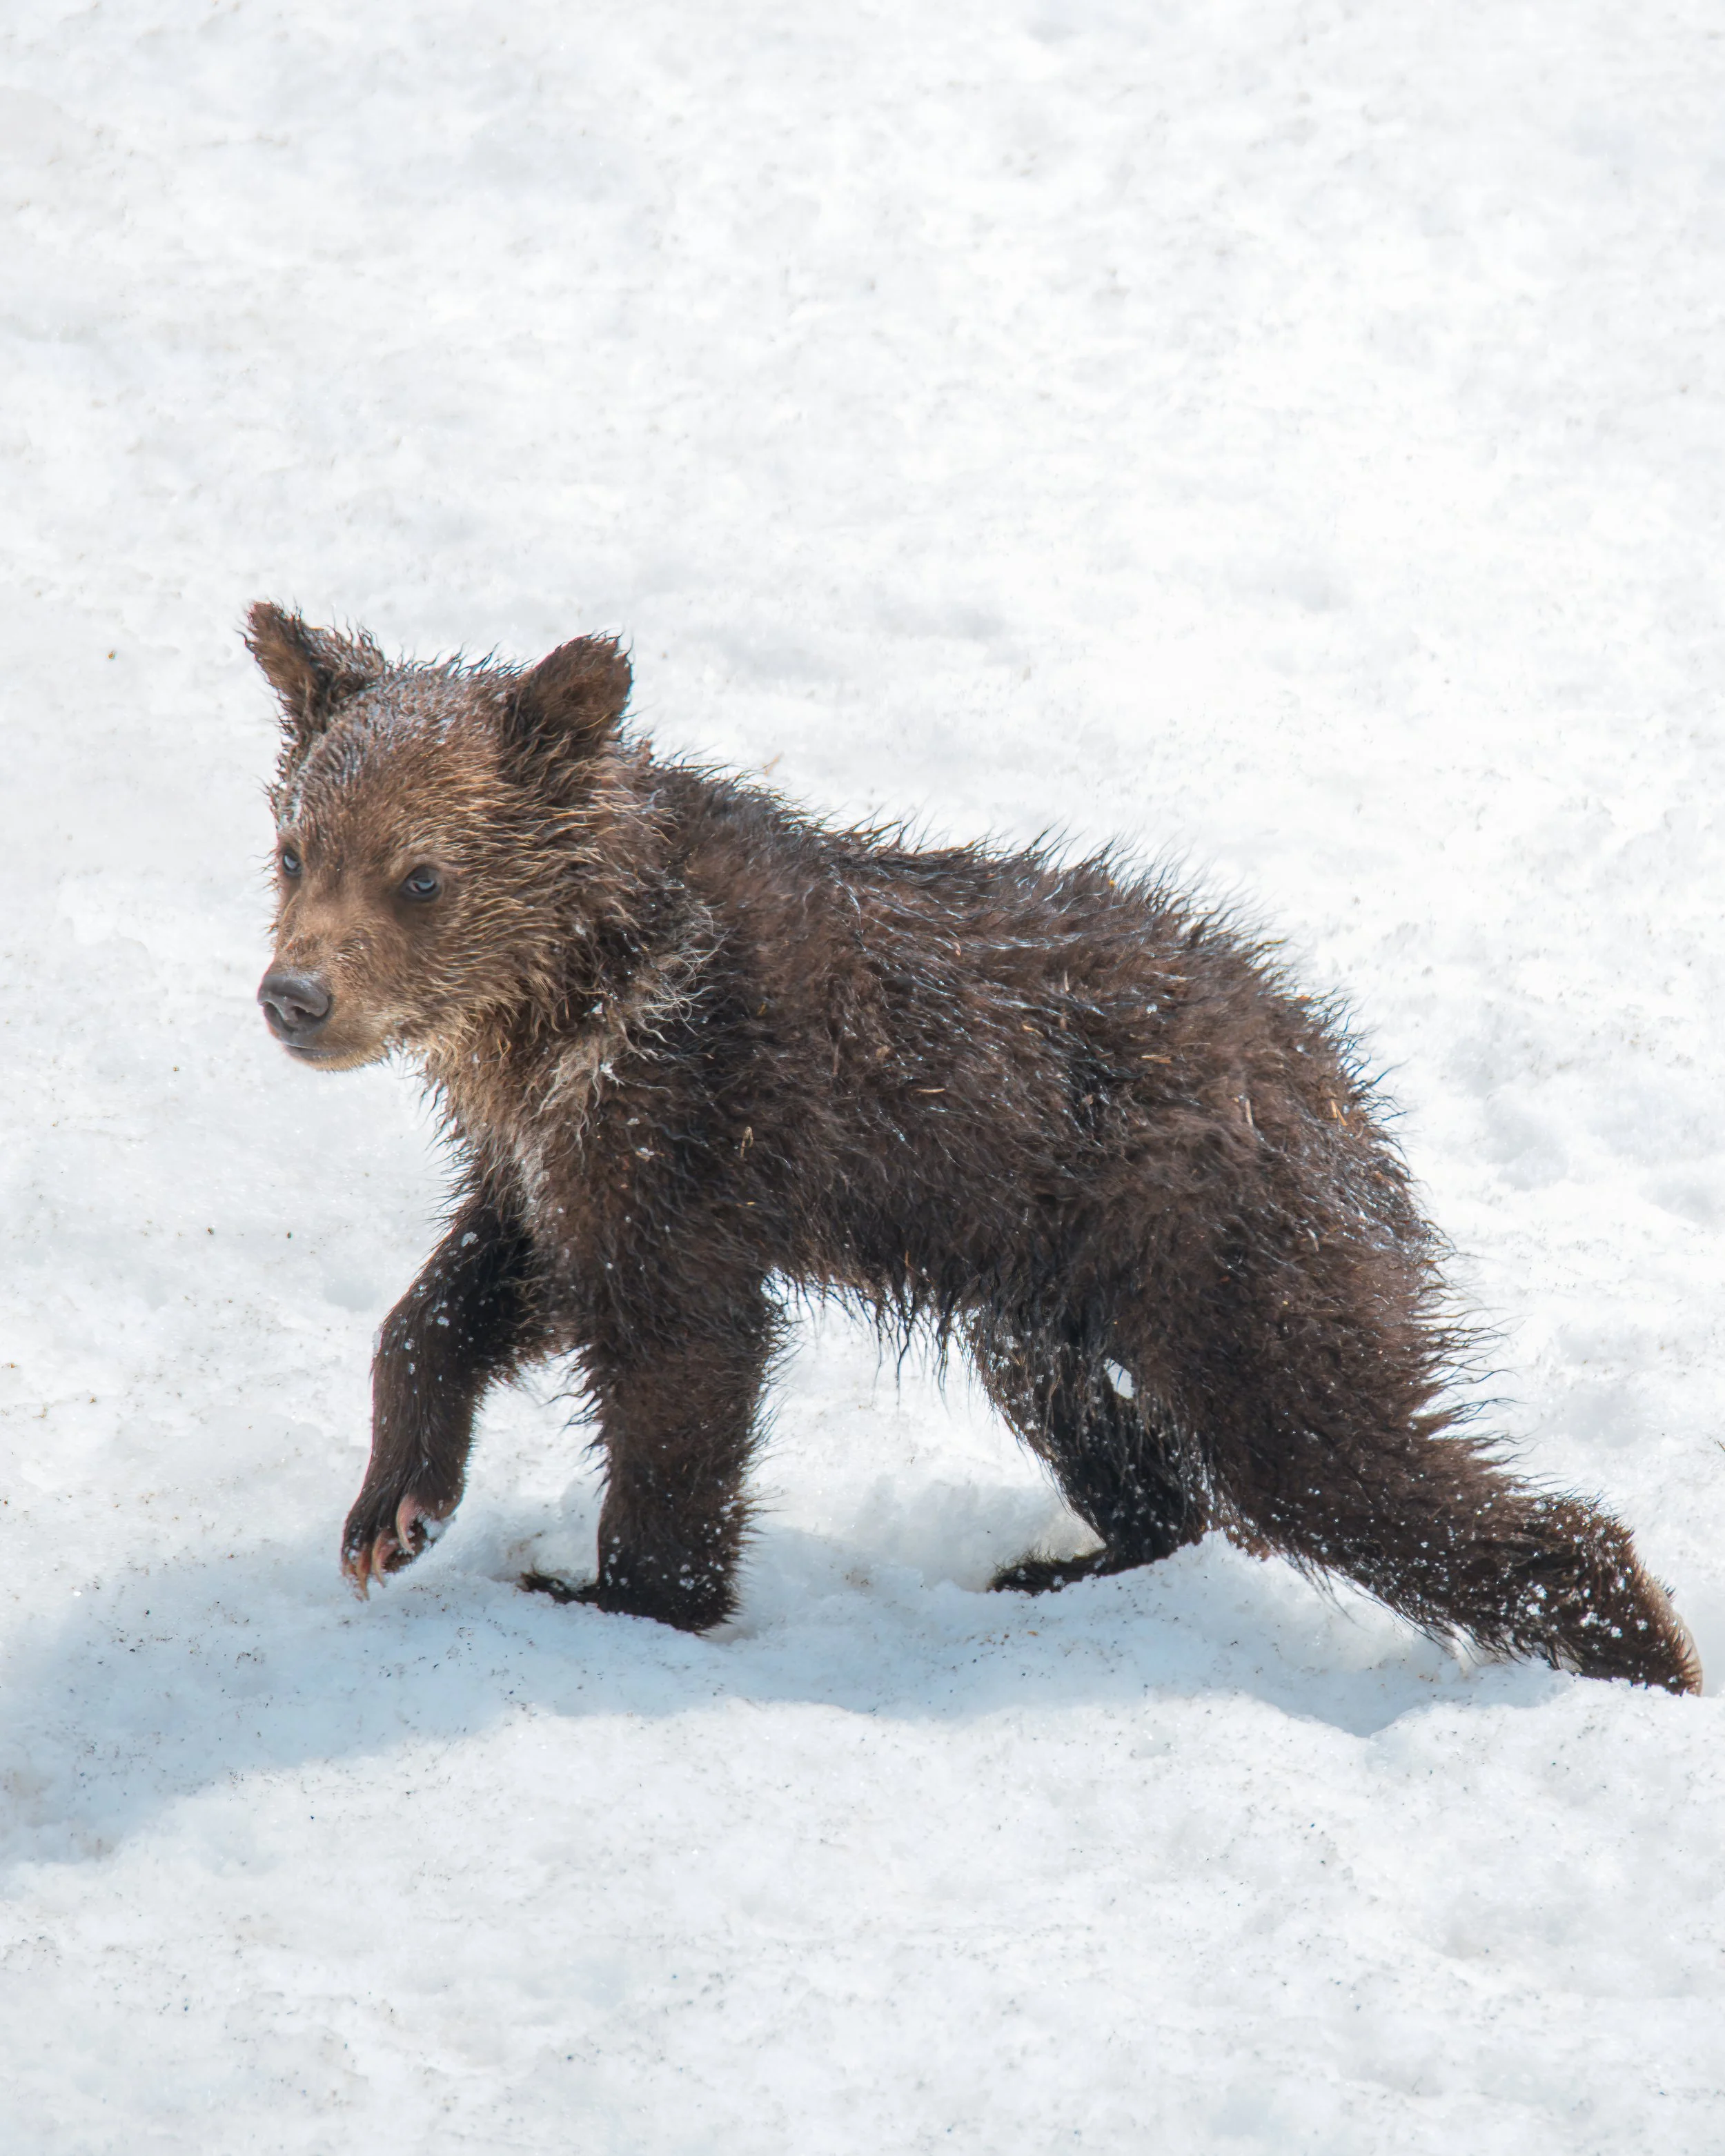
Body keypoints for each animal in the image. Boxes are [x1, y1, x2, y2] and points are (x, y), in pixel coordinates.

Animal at [247, 602, 1701, 1694]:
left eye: (422, 874)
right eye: (295, 848)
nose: (297, 997)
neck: (571, 999)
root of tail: (1335, 1075)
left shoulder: (693, 1128)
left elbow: (681, 1367)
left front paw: (618, 1596)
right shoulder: (559, 1153)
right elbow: (472, 1290)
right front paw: (393, 1511)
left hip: (1230, 1249)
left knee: (1331, 1456)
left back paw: (1639, 1642)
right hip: (1053, 1276)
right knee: (1121, 1437)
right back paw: (1067, 1563)